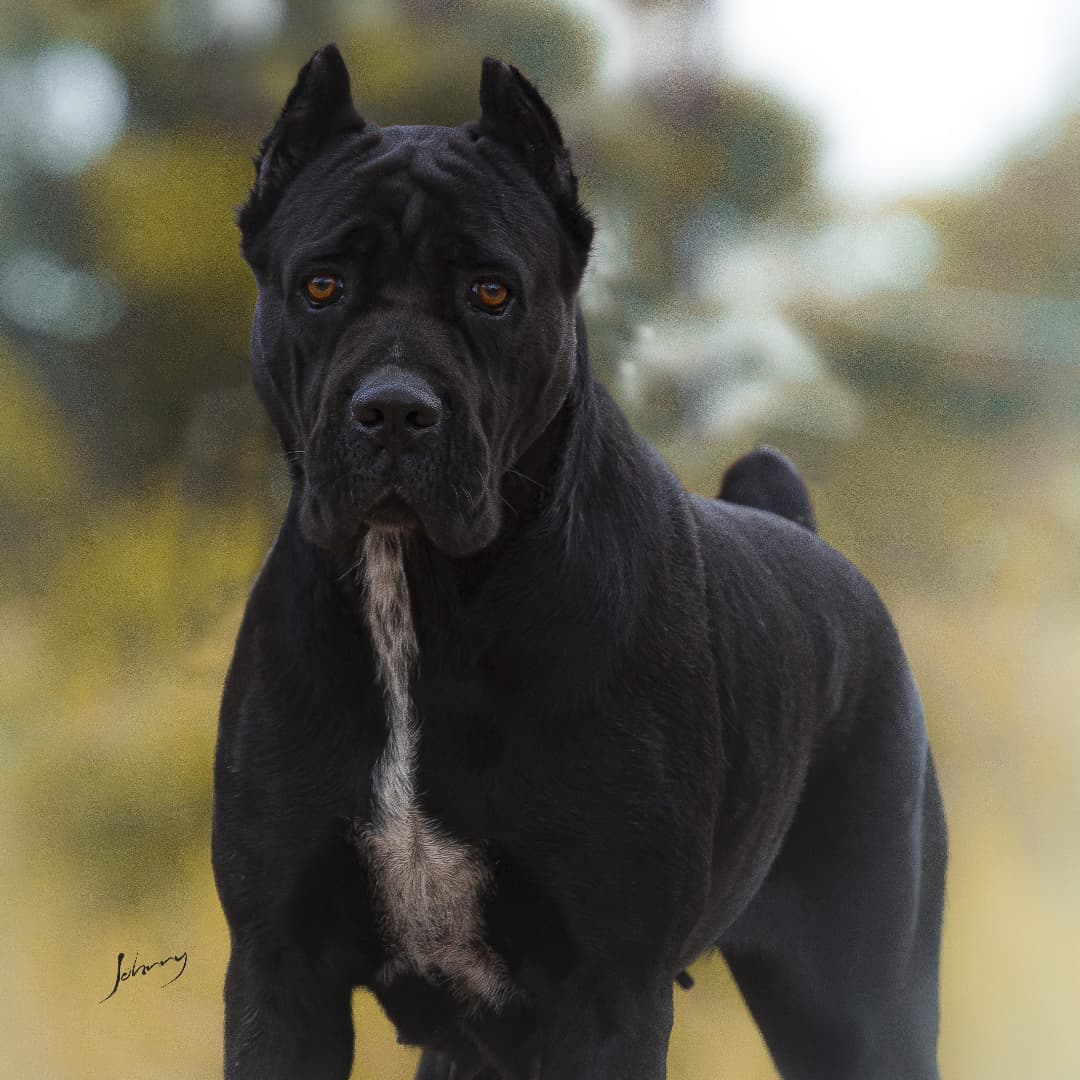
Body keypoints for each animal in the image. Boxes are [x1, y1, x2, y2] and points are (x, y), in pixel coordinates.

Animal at [217, 46, 946, 1080]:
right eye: (321, 286)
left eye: (491, 291)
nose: (395, 408)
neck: (418, 596)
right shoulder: (281, 968)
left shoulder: (605, 988)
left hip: (861, 1003)